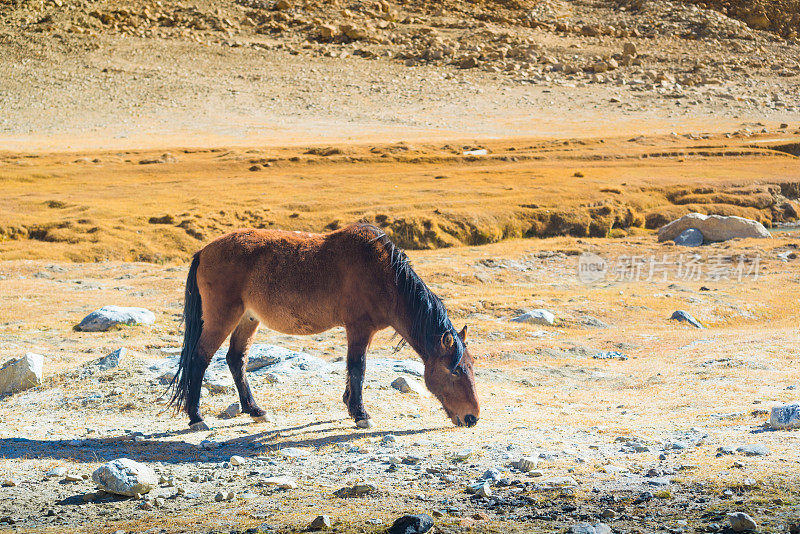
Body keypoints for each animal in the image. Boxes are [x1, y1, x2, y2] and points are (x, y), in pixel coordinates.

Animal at [168, 224, 478, 434]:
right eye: (454, 371)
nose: (472, 418)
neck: (384, 276)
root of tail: (204, 251)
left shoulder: (362, 331)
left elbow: (354, 367)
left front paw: (350, 405)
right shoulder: (359, 327)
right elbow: (358, 366)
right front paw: (361, 414)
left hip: (248, 319)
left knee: (236, 359)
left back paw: (255, 411)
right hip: (222, 317)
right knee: (199, 359)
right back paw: (197, 418)